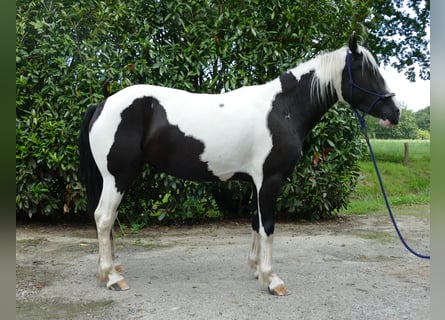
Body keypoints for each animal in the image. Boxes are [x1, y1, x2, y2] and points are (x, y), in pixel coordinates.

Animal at [79, 32, 398, 296]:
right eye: (366, 72)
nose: (394, 113)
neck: (283, 109)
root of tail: (103, 104)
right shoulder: (270, 179)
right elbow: (268, 225)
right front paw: (272, 280)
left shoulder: (257, 182)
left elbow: (256, 223)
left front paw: (257, 269)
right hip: (118, 177)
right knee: (103, 218)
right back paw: (112, 278)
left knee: (107, 221)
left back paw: (111, 268)